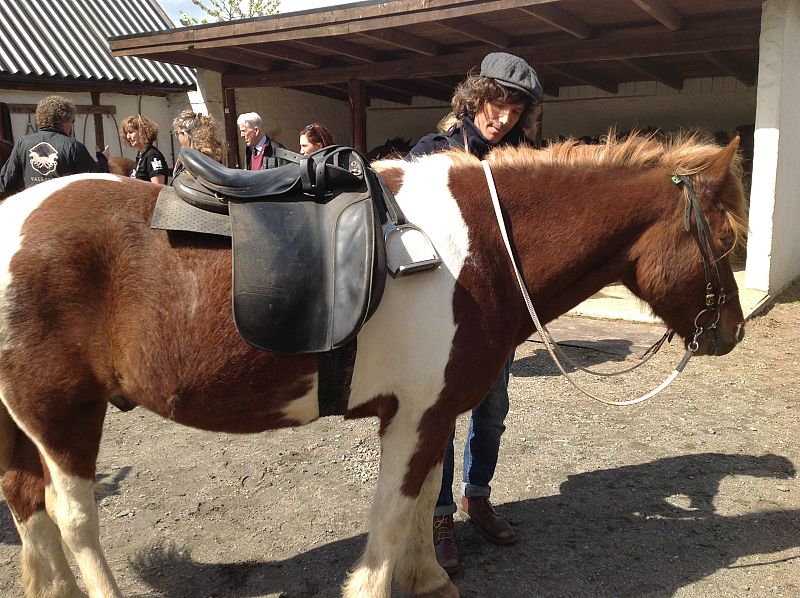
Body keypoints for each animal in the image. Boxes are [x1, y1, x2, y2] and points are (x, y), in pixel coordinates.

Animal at [0, 132, 747, 598]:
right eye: (729, 239)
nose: (732, 333)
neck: (478, 248)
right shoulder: (413, 416)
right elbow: (392, 512)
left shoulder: (431, 412)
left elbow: (421, 502)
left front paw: (430, 578)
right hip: (61, 413)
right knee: (72, 516)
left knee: (25, 499)